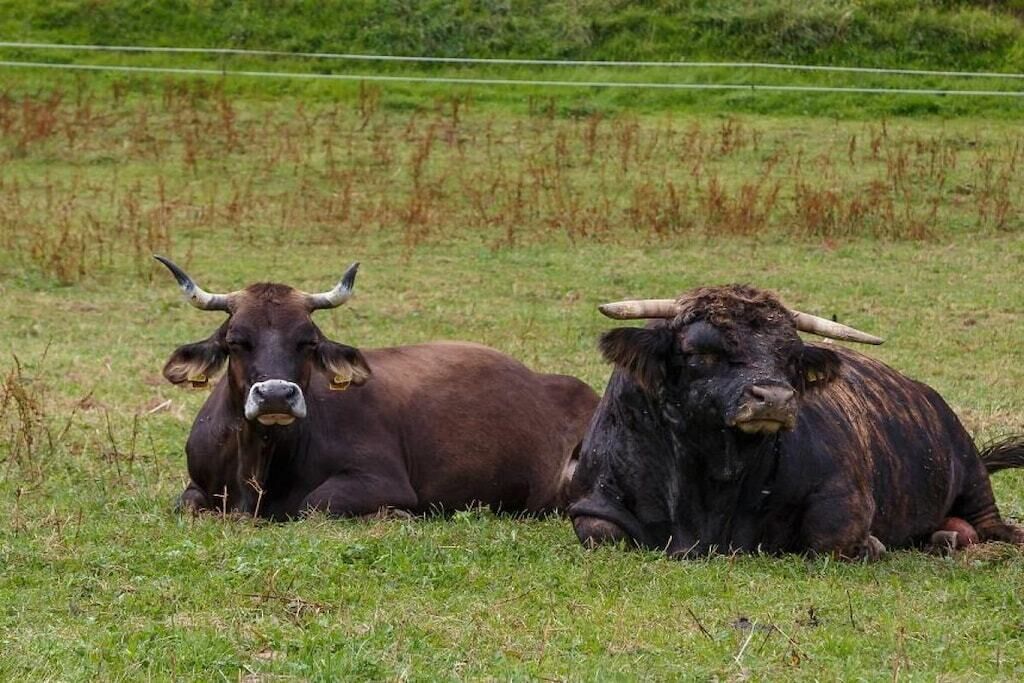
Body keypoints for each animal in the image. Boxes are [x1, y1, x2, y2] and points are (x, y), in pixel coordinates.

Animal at [154, 256, 599, 520]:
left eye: (308, 341)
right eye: (235, 340)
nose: (276, 395)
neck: (258, 467)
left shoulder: (380, 480)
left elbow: (314, 504)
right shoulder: (197, 487)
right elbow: (188, 503)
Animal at [568, 284, 1024, 559]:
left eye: (789, 356)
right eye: (700, 352)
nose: (774, 399)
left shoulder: (843, 494)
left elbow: (830, 536)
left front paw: (873, 545)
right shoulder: (593, 506)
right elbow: (601, 532)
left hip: (970, 473)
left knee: (989, 522)